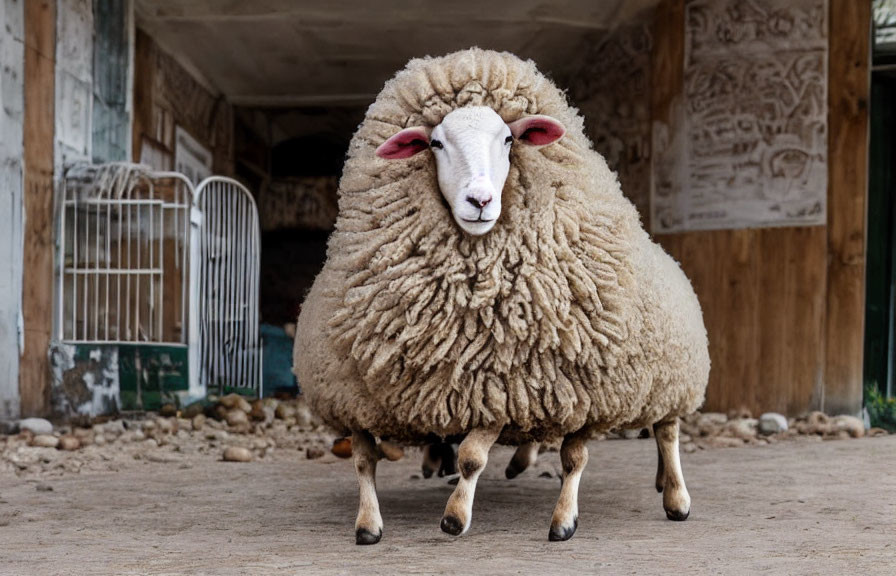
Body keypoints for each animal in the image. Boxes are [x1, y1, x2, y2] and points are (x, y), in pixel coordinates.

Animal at [294, 48, 708, 544]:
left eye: (509, 139)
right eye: (435, 143)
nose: (480, 200)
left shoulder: (507, 386)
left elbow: (484, 456)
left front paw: (459, 516)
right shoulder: (358, 397)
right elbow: (362, 460)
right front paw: (368, 524)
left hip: (661, 380)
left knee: (664, 433)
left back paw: (672, 498)